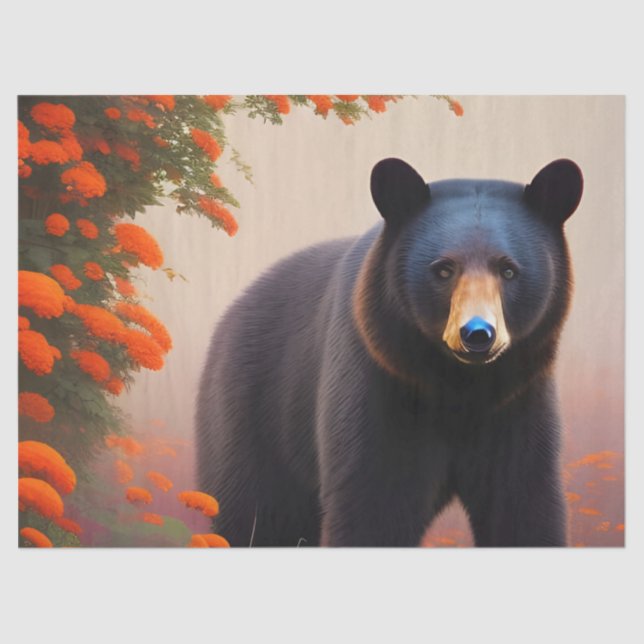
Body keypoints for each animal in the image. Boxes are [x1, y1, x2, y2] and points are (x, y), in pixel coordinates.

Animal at [195, 157, 584, 547]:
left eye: (508, 270)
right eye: (444, 270)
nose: (477, 334)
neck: (460, 386)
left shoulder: (518, 399)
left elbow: (522, 501)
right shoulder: (376, 379)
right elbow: (374, 502)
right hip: (252, 411)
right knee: (257, 513)